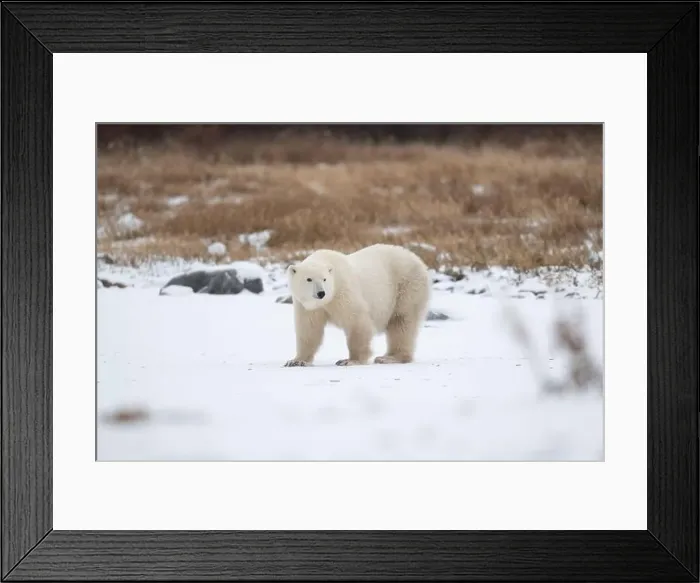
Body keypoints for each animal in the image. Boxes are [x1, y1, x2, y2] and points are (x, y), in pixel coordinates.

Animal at [283, 243, 431, 367]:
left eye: (324, 279)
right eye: (309, 279)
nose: (321, 293)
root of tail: (419, 261)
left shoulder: (342, 291)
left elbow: (356, 320)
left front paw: (350, 360)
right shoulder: (307, 306)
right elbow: (309, 329)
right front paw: (296, 361)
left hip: (406, 286)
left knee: (401, 321)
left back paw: (390, 358)